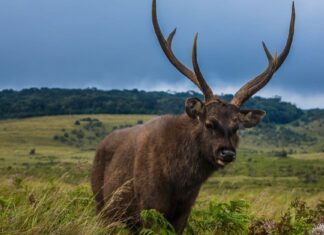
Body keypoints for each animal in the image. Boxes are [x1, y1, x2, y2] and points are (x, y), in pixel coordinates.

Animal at [90, 0, 294, 234]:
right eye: (209, 123)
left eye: (237, 127)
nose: (227, 153)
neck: (180, 181)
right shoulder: (149, 208)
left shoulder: (184, 211)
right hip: (102, 204)